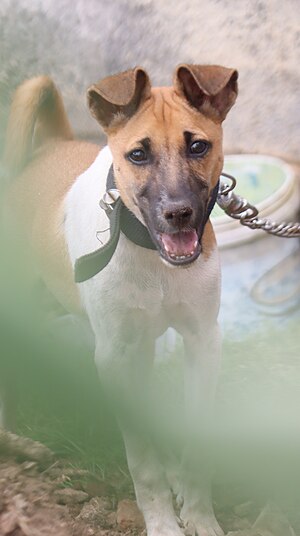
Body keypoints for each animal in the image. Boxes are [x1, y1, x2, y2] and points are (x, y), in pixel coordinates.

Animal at [1, 67, 237, 536]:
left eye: (198, 146)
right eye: (138, 155)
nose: (178, 213)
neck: (151, 254)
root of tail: (49, 147)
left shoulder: (203, 341)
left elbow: (196, 447)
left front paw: (199, 515)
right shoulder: (113, 356)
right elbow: (142, 461)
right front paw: (162, 523)